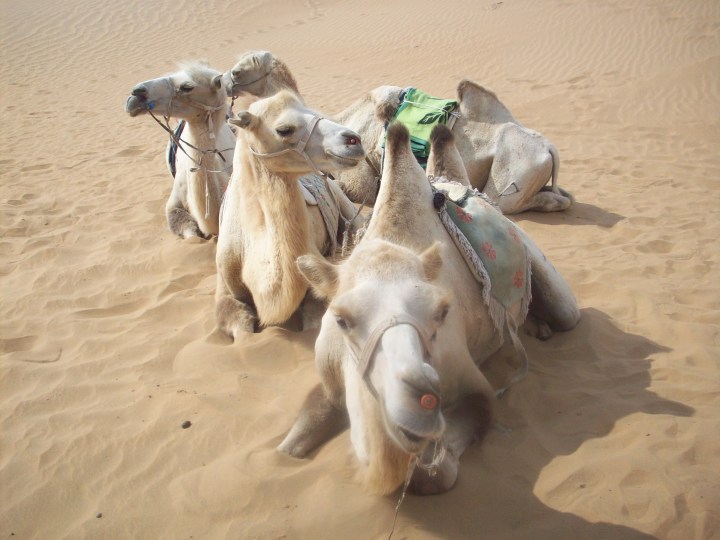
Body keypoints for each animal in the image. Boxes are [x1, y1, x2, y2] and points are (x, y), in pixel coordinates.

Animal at [278, 123, 580, 495]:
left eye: (440, 313)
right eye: (341, 320)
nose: (412, 398)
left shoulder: (473, 387)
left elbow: (434, 472)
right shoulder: (329, 384)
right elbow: (287, 449)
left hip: (547, 279)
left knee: (565, 313)